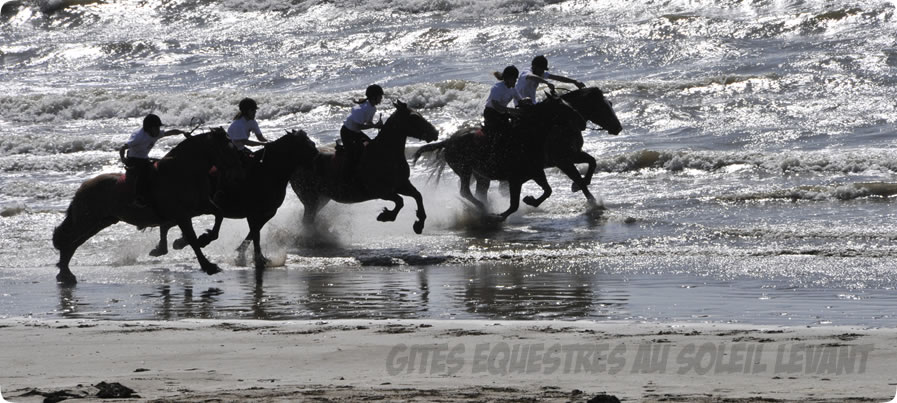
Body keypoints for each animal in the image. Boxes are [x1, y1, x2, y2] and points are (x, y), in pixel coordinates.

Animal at [52, 129, 240, 284]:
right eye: (227, 147)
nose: (240, 162)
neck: (183, 172)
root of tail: (83, 187)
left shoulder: (200, 207)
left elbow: (218, 215)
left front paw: (205, 239)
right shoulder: (182, 215)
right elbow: (192, 239)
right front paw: (208, 265)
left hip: (100, 222)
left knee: (74, 242)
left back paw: (65, 273)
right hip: (87, 221)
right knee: (69, 241)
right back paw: (65, 273)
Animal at [163, 129, 320, 270]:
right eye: (305, 144)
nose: (318, 154)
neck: (267, 171)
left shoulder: (267, 213)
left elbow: (254, 233)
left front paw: (245, 255)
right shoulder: (253, 212)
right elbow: (255, 234)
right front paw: (257, 259)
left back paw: (179, 242)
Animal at [288, 100, 440, 234]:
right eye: (414, 117)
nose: (435, 132)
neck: (385, 153)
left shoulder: (401, 185)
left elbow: (417, 196)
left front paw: (419, 224)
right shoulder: (382, 192)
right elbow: (400, 201)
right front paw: (386, 216)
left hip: (322, 198)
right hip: (311, 200)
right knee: (307, 220)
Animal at [412, 95, 588, 221]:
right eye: (563, 107)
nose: (582, 122)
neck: (528, 137)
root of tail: (448, 141)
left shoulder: (536, 172)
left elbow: (547, 191)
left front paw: (530, 200)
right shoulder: (515, 179)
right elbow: (514, 204)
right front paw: (499, 216)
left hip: (481, 176)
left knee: (477, 191)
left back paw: (483, 208)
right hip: (464, 170)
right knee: (465, 191)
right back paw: (483, 208)